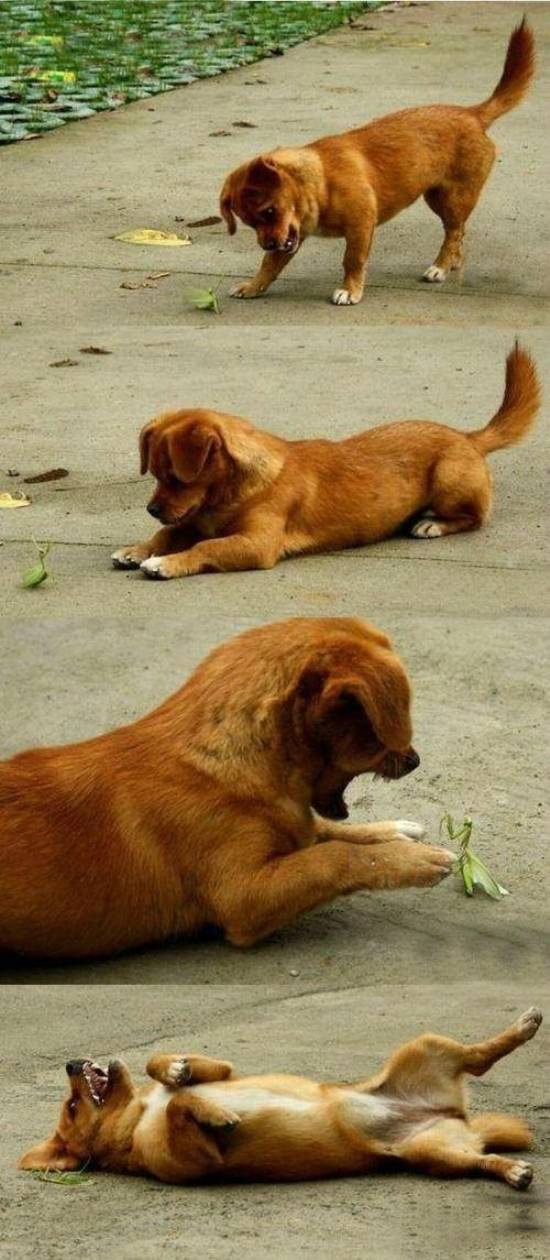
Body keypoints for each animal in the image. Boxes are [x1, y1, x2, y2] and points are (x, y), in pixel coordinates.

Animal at [0, 614, 455, 957]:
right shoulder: (243, 896)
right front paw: (412, 860)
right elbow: (332, 857)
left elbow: (327, 832)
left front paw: (394, 833)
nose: (415, 760)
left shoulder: (295, 825)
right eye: (376, 735)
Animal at [20, 1002, 541, 1189]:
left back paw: (521, 1028)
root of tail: (454, 1114)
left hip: (426, 1045)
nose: (70, 1064)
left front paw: (175, 1068)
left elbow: (166, 1073)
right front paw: (215, 1113)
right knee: (480, 1159)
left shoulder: (225, 1070)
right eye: (72, 1106)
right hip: (435, 1154)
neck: (138, 1118)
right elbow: (184, 1106)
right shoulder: (200, 1160)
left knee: (479, 1056)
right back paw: (510, 1170)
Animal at [110, 342, 536, 582]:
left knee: (474, 518)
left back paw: (432, 524)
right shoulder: (194, 521)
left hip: (449, 479)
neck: (232, 493)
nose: (151, 509)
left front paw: (166, 564)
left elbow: (204, 549)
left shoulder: (255, 544)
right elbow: (167, 535)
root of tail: (467, 436)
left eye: (177, 478)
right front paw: (138, 549)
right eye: (156, 475)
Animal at [220, 21, 536, 304]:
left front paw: (350, 290)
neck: (320, 181)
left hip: (454, 199)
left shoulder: (360, 226)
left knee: (454, 231)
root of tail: (473, 114)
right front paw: (253, 286)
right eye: (250, 223)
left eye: (269, 211)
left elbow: (352, 260)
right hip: (436, 198)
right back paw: (454, 262)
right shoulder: (290, 236)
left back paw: (441, 266)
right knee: (457, 233)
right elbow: (269, 265)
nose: (267, 243)